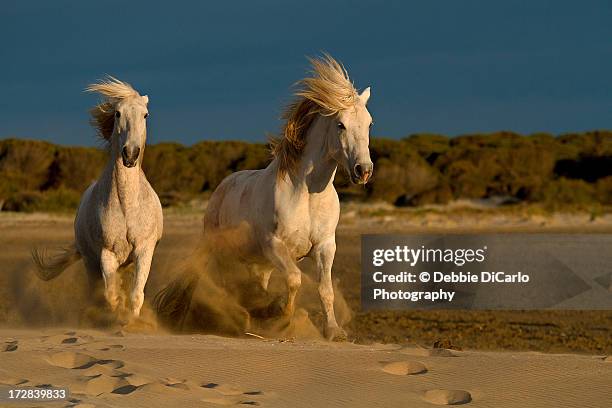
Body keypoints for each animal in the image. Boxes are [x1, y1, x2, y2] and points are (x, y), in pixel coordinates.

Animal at [32, 76, 163, 318]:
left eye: (145, 115)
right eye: (118, 113)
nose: (130, 154)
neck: (127, 205)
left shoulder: (143, 251)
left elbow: (135, 295)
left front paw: (132, 321)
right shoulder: (106, 254)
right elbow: (111, 296)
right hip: (90, 263)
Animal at [154, 55, 372, 342]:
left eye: (369, 123)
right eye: (340, 124)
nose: (363, 170)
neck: (307, 195)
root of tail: (222, 188)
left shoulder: (325, 246)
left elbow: (325, 289)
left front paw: (334, 331)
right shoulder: (274, 245)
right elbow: (294, 279)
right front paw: (279, 316)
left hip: (258, 264)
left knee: (254, 286)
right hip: (224, 253)